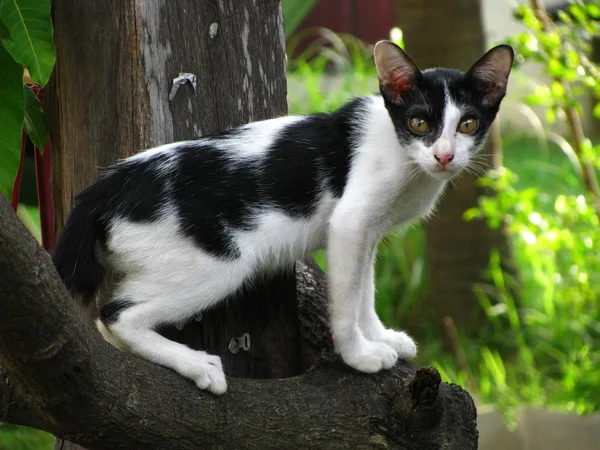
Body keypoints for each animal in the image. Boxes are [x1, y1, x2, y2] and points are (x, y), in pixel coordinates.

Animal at [51, 41, 512, 394]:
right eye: (419, 123)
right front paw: (358, 355)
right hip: (216, 266)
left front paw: (380, 337)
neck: (402, 153)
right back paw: (199, 365)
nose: (445, 156)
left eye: (468, 124)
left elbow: (364, 288)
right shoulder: (349, 223)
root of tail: (106, 187)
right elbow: (347, 297)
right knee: (116, 315)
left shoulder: (366, 234)